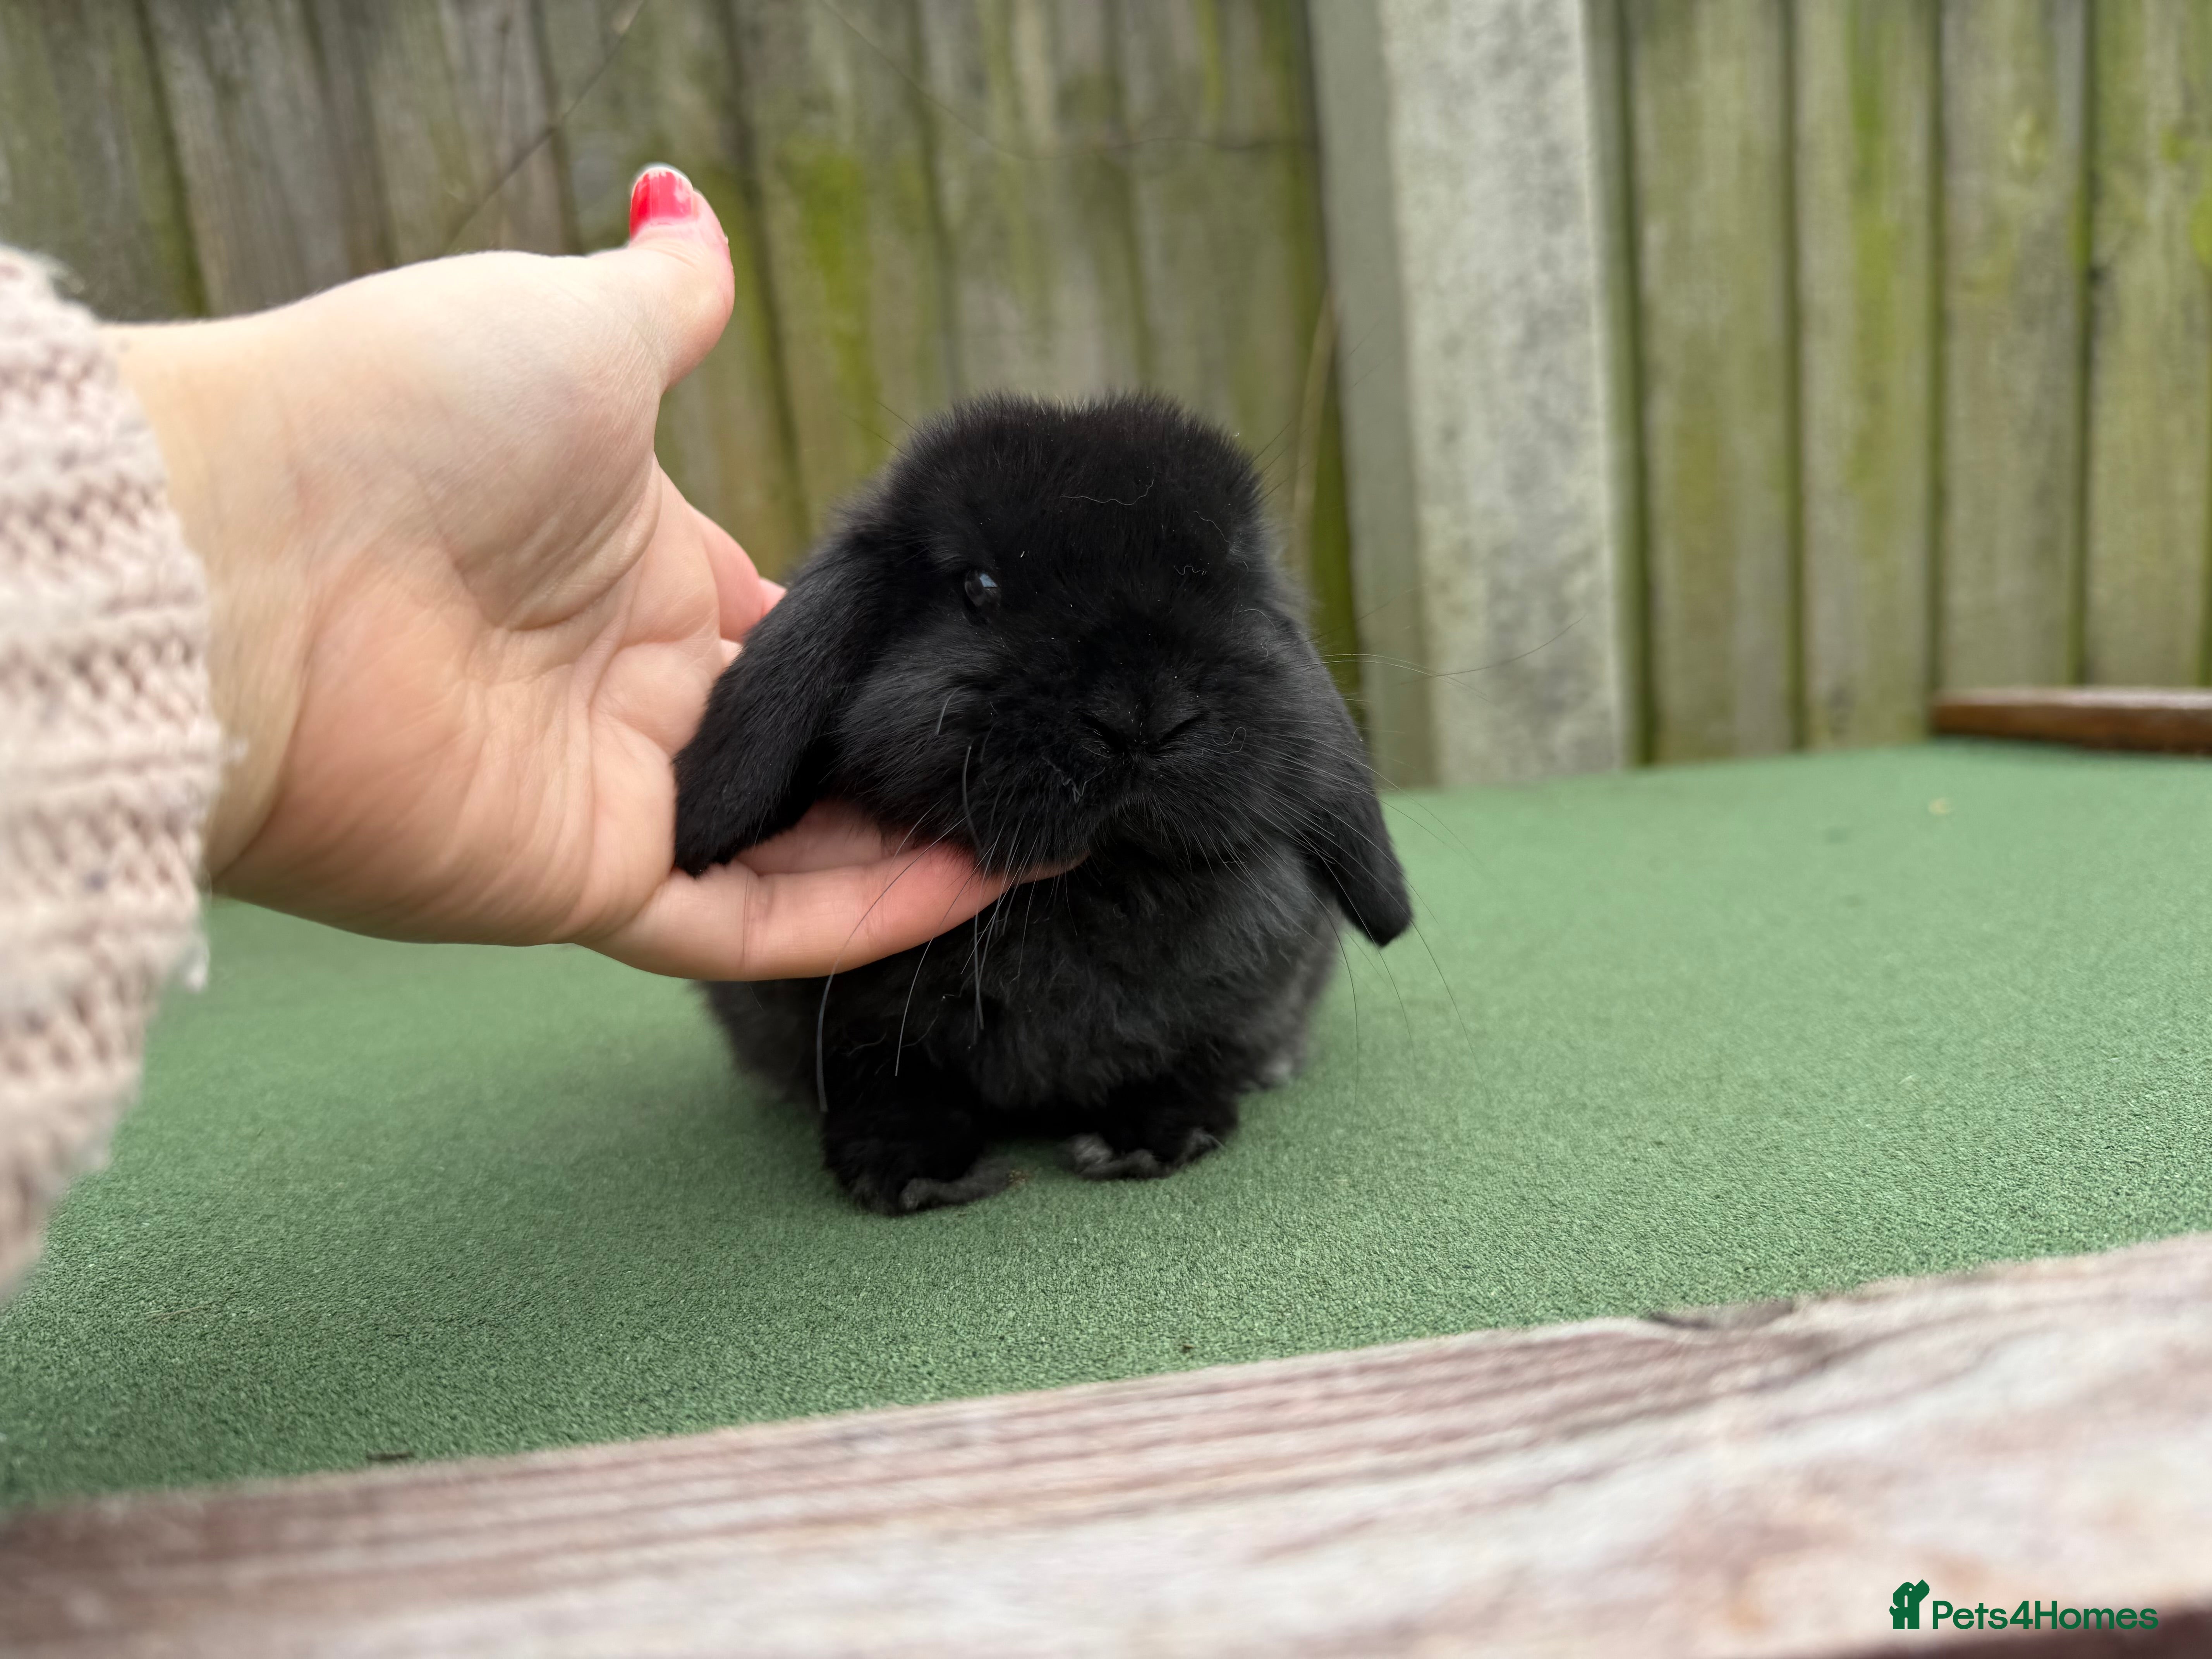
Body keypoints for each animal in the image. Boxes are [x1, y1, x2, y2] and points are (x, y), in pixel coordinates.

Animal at [673, 391, 1411, 1214]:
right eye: (979, 586)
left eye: (1232, 582)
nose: (1142, 714)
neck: (1093, 887)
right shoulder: (846, 1025)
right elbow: (885, 1077)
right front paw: (910, 1168)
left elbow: (1192, 1057)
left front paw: (1154, 1136)